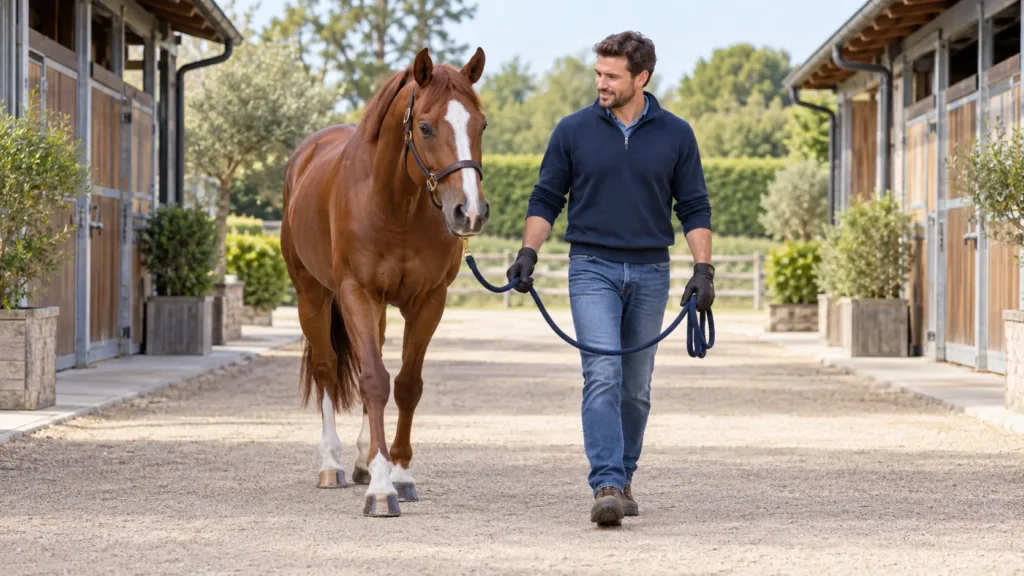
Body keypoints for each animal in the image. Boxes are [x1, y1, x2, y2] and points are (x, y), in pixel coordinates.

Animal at [279, 46, 490, 518]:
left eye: (481, 124)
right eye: (425, 126)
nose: (469, 212)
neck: (398, 205)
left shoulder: (428, 301)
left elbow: (407, 385)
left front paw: (400, 474)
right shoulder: (356, 293)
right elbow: (374, 380)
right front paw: (380, 488)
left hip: (374, 312)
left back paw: (361, 460)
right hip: (312, 297)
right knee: (327, 371)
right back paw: (332, 465)